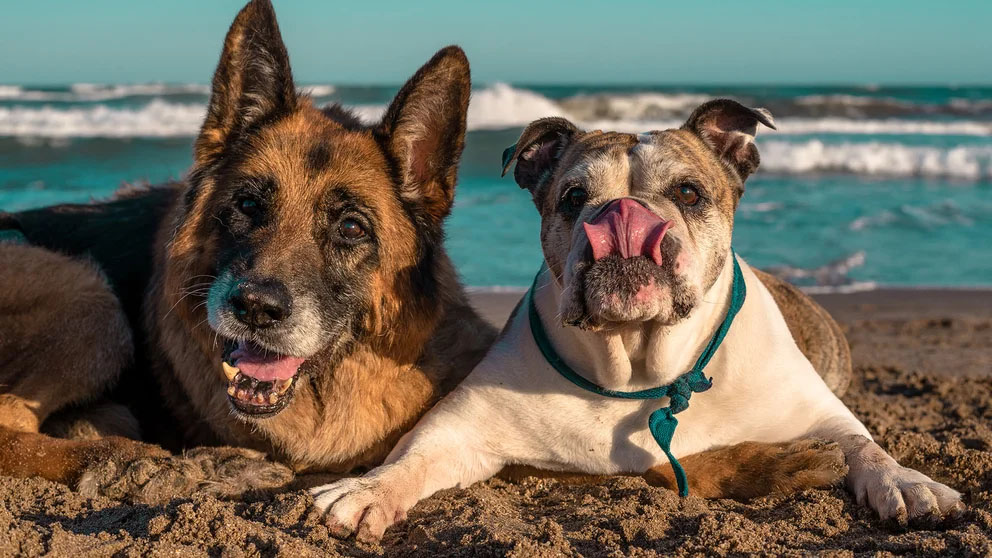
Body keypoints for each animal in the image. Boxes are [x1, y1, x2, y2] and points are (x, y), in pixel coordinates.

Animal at [1, 0, 844, 508]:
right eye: (246, 205)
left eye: (350, 228)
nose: (253, 309)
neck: (344, 377)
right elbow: (649, 465)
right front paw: (778, 461)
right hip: (84, 290)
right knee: (10, 423)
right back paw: (149, 462)